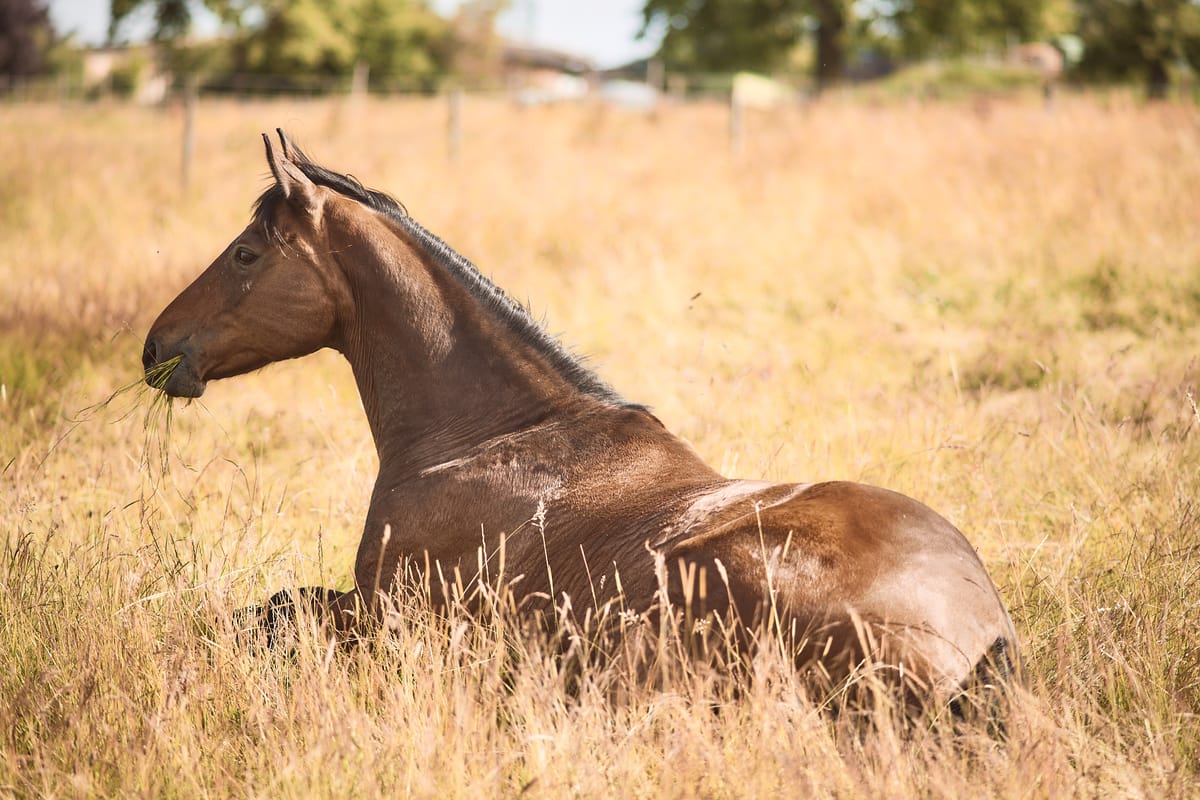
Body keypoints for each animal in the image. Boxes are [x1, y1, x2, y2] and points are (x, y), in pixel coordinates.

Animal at [143, 130, 1018, 709]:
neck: (492, 438)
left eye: (246, 254)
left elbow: (265, 615)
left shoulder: (386, 617)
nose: (157, 346)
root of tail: (979, 633)